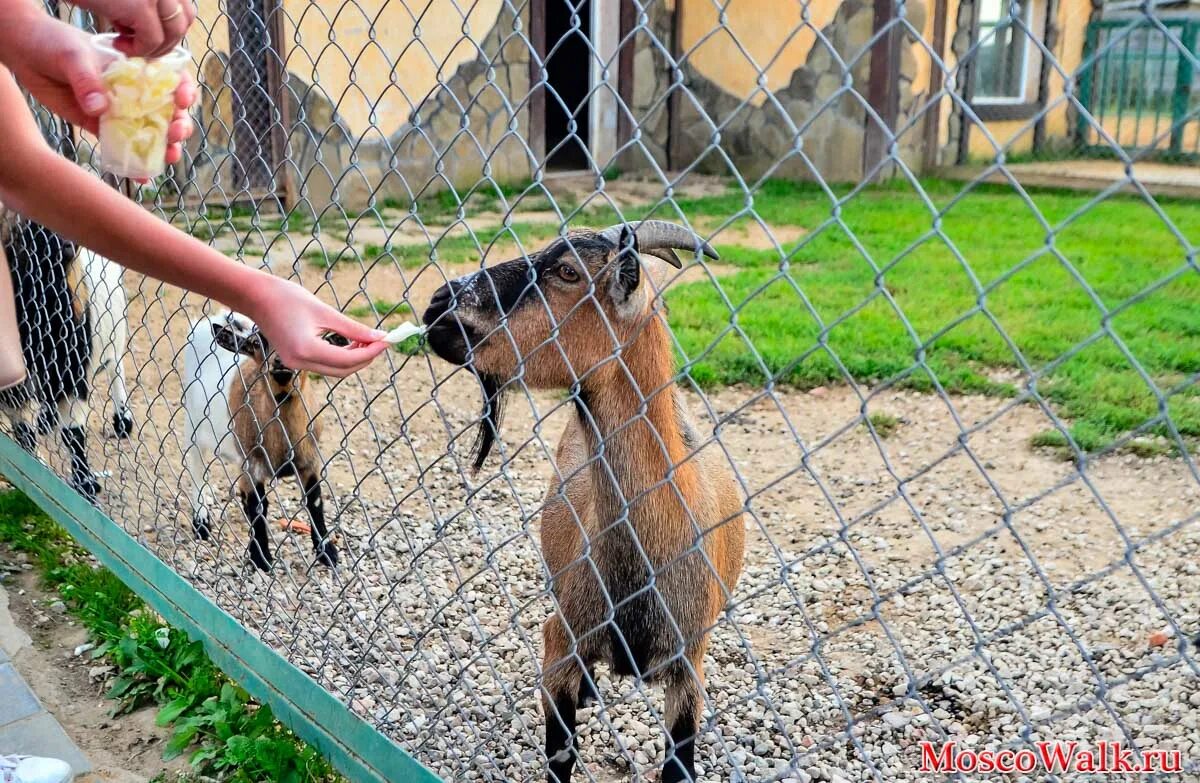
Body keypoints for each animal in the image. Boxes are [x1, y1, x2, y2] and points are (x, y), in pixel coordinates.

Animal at [211, 321, 338, 571]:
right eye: (256, 342)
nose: (280, 362)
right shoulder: (251, 466)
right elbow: (257, 508)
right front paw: (260, 558)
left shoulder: (310, 462)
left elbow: (315, 502)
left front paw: (327, 552)